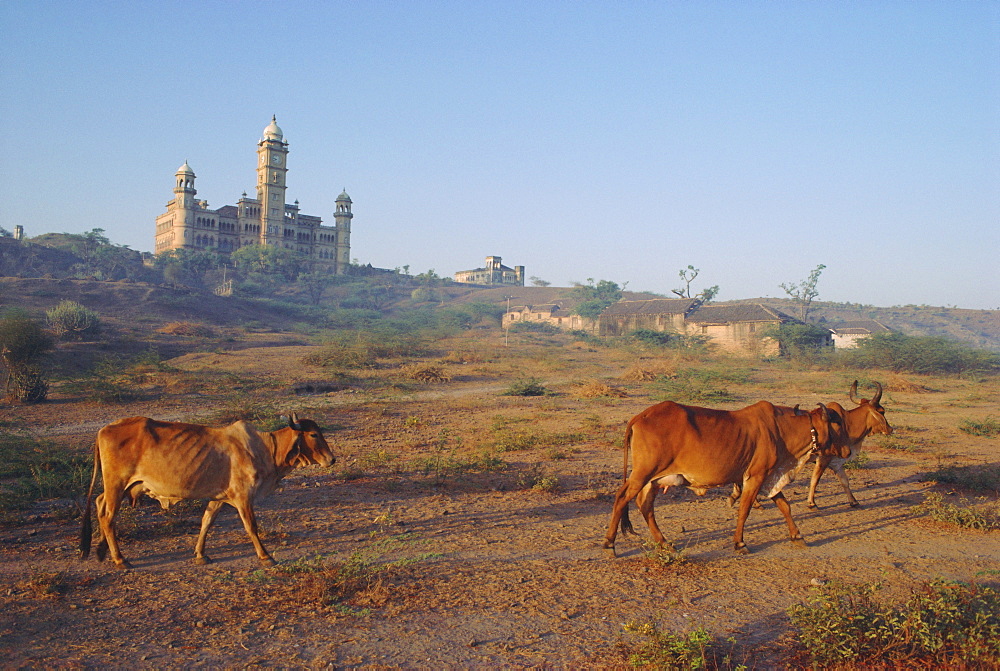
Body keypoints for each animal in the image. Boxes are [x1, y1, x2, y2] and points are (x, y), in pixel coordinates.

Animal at [79, 412, 336, 568]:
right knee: (108, 516)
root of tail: (103, 430)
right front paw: (265, 555)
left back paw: (102, 551)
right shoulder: (243, 497)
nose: (332, 459)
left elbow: (206, 523)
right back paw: (119, 559)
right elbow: (251, 527)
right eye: (313, 434)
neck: (265, 448)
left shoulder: (219, 498)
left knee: (100, 504)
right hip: (116, 483)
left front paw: (201, 554)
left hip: (121, 487)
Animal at [604, 402, 848, 552]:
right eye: (838, 424)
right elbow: (745, 510)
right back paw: (609, 543)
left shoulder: (768, 478)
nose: (847, 451)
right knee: (622, 498)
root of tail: (641, 416)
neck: (781, 430)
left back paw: (664, 542)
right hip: (643, 473)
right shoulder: (756, 476)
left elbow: (785, 506)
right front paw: (740, 543)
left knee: (645, 505)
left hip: (652, 479)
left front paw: (797, 536)